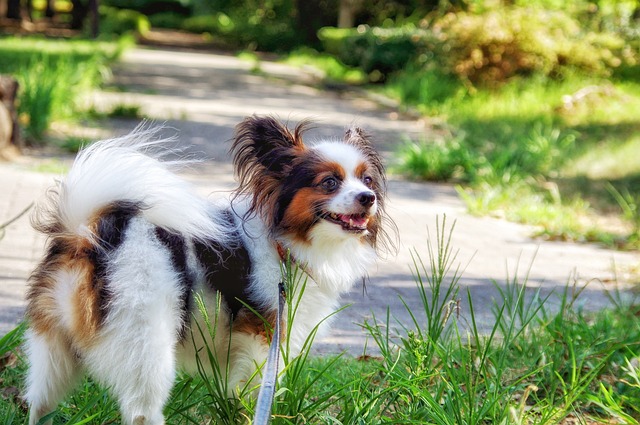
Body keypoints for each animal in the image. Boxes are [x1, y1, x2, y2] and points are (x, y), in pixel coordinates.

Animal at [23, 114, 390, 422]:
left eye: (367, 180)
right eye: (329, 183)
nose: (368, 197)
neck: (284, 244)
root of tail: (88, 236)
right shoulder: (260, 341)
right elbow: (255, 394)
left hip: (54, 352)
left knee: (39, 403)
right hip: (147, 348)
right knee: (142, 411)